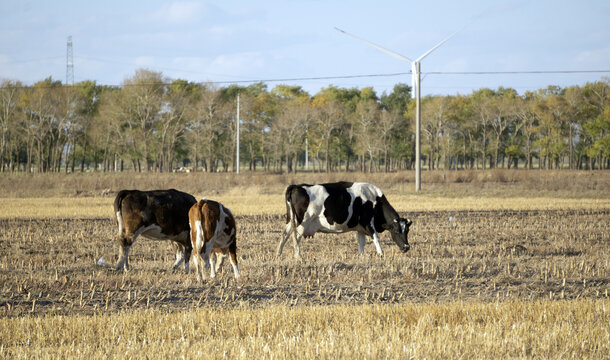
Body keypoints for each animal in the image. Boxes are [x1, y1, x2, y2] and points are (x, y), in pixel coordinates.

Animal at [276, 181, 410, 258]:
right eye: (397, 231)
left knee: (285, 234)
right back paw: (298, 256)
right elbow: (376, 238)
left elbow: (361, 242)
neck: (375, 201)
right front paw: (381, 254)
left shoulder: (360, 228)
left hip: (291, 220)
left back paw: (278, 254)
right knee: (296, 237)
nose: (406, 247)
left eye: (407, 231)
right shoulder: (368, 223)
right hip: (302, 222)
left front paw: (362, 256)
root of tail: (296, 186)